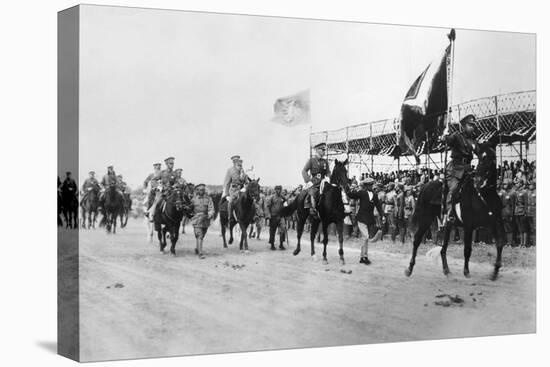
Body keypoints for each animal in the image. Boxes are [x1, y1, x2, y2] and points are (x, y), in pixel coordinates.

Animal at [406, 144, 508, 282]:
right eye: (480, 158)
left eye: (491, 159)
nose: (479, 181)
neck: (483, 195)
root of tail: (425, 186)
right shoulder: (469, 226)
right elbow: (467, 249)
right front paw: (466, 272)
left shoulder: (493, 223)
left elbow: (500, 243)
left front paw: (495, 271)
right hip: (426, 219)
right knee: (417, 240)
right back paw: (409, 269)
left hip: (447, 224)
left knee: (443, 248)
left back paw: (447, 271)